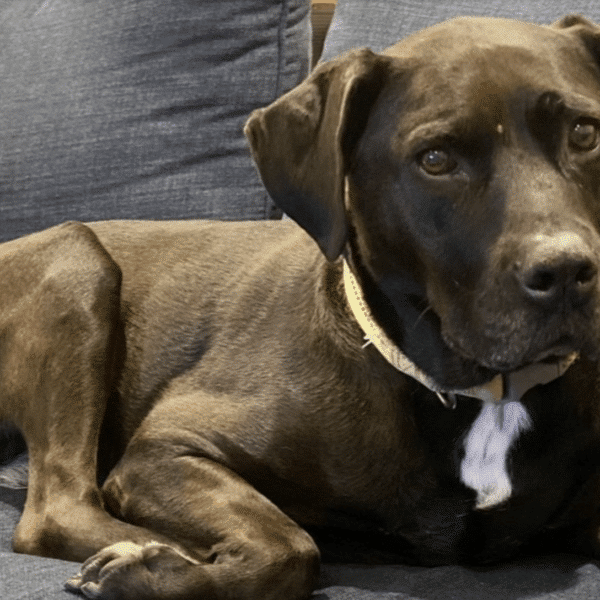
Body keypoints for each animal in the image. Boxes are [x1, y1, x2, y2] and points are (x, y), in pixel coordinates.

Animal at [2, 12, 600, 600]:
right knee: (56, 511)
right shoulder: (166, 449)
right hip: (78, 263)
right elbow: (291, 546)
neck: (483, 398)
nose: (568, 271)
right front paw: (160, 570)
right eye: (436, 159)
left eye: (585, 132)